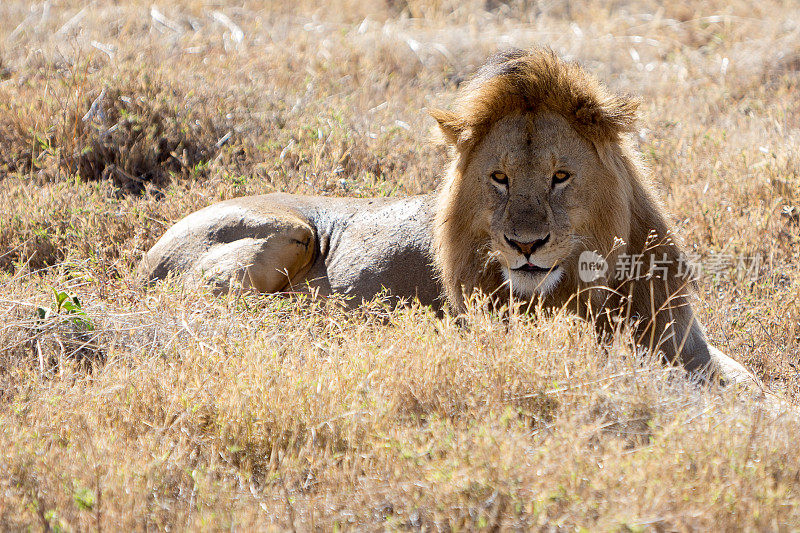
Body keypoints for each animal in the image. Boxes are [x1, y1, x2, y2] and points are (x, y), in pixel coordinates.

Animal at [141, 47, 760, 384]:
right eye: (500, 178)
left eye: (561, 177)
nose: (525, 244)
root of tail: (146, 256)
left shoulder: (687, 345)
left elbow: (753, 385)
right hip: (288, 231)